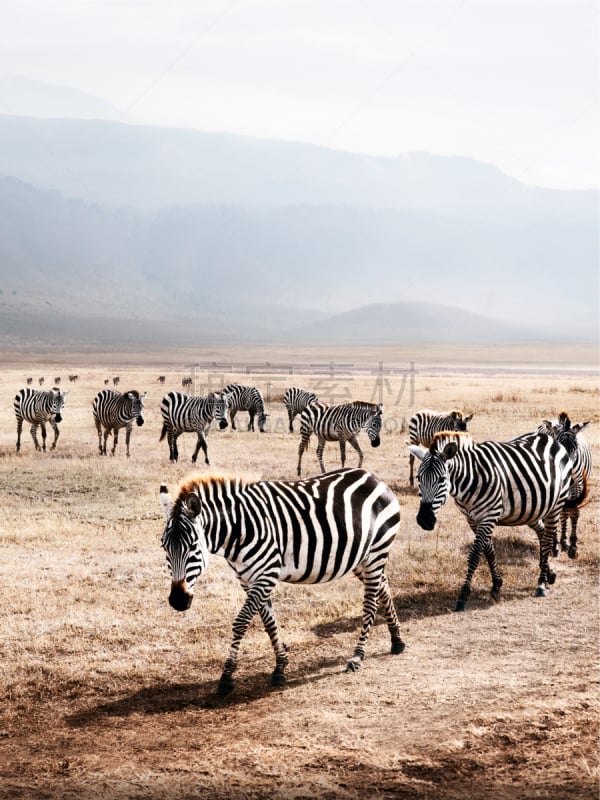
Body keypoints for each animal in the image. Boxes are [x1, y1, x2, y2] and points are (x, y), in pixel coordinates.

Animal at [159, 468, 406, 692]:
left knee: (370, 602)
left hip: (376, 551)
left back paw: (358, 655)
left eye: (193, 546)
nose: (178, 601)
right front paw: (280, 666)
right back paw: (397, 640)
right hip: (360, 558)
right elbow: (268, 622)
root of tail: (373, 477)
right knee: (383, 586)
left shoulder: (265, 574)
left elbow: (241, 622)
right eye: (164, 547)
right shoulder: (248, 578)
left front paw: (227, 676)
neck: (239, 530)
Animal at [410, 432, 576, 612]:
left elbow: (475, 554)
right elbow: (488, 550)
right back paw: (549, 574)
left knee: (546, 541)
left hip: (556, 505)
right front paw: (497, 585)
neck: (471, 480)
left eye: (442, 479)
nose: (424, 520)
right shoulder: (473, 520)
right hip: (531, 509)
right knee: (541, 531)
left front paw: (463, 595)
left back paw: (541, 584)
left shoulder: (489, 516)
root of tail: (548, 437)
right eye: (418, 478)